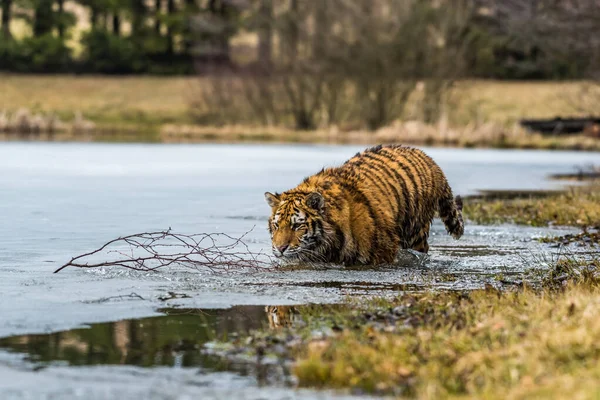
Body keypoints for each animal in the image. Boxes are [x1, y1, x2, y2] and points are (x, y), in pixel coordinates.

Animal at [264, 145, 466, 266]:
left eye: (297, 226)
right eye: (276, 225)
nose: (280, 249)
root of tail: (429, 159)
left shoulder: (382, 252)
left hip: (416, 234)